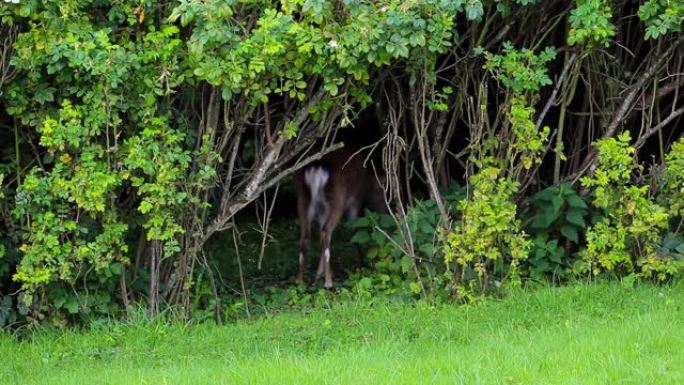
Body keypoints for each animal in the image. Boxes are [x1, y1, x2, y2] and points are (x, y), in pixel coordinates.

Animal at [296, 148, 388, 286]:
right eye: (384, 194)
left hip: (304, 199)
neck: (367, 184)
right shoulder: (355, 201)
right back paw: (328, 282)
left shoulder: (322, 209)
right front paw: (362, 262)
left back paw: (299, 280)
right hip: (336, 200)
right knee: (326, 232)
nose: (387, 211)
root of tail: (316, 170)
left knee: (307, 235)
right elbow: (354, 230)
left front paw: (318, 274)